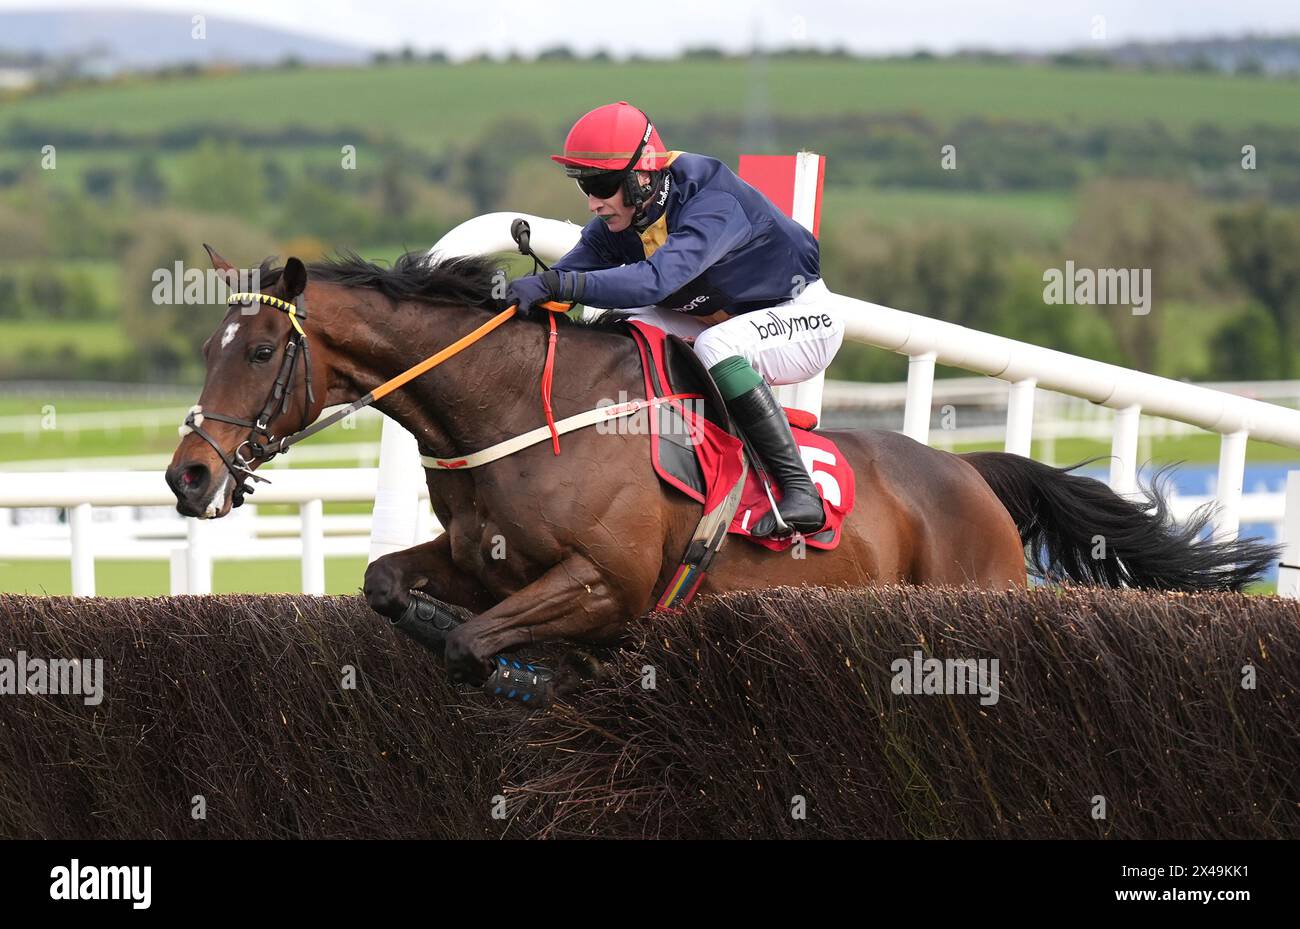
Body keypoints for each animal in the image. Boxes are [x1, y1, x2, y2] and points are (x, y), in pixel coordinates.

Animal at [162, 246, 1279, 691]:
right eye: (208, 346)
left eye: (259, 351)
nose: (186, 476)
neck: (516, 408)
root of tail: (971, 474)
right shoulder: (480, 559)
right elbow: (385, 582)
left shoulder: (606, 581)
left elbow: (479, 644)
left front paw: (519, 670)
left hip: (978, 598)